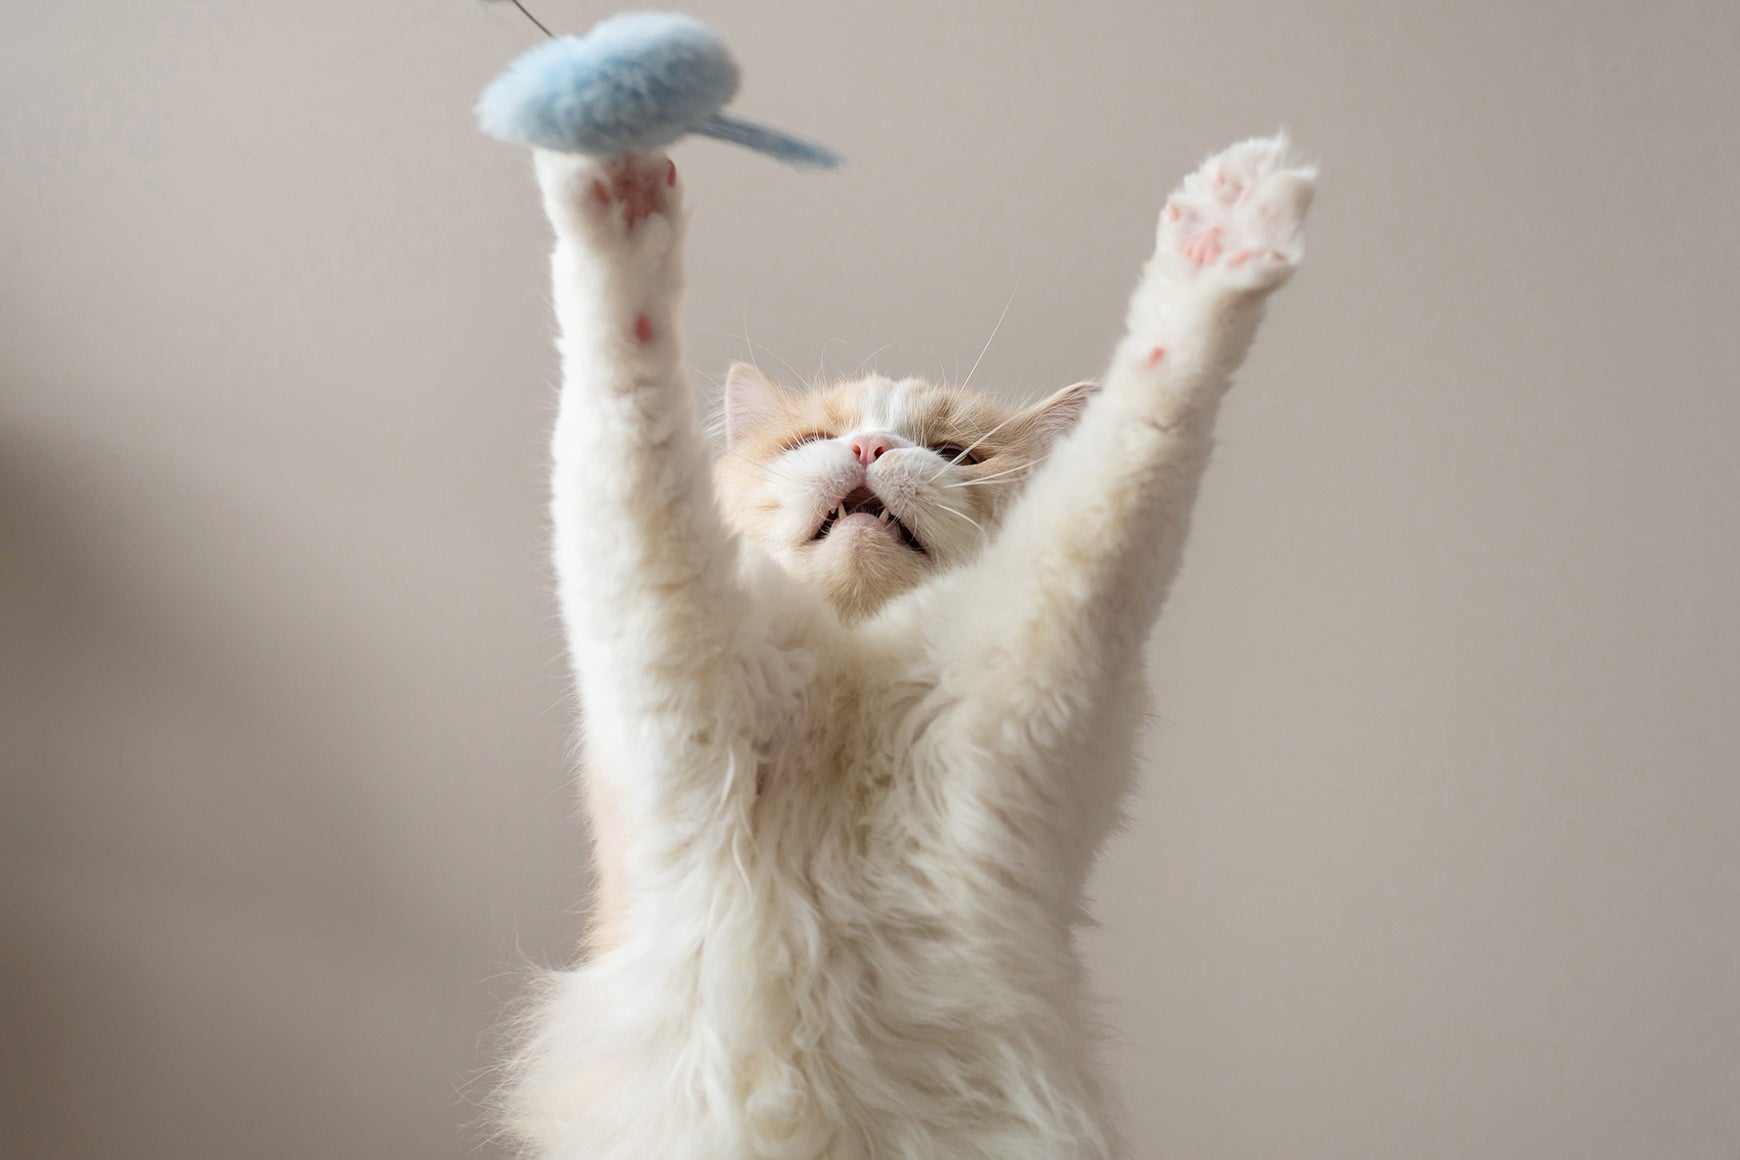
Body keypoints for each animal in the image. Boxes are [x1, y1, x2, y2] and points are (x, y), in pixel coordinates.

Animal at [501, 135, 1315, 1159]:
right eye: (812, 439)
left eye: (958, 455)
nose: (869, 450)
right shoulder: (662, 625)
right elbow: (624, 373)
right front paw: (614, 182)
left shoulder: (1058, 647)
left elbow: (1147, 422)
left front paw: (1227, 236)